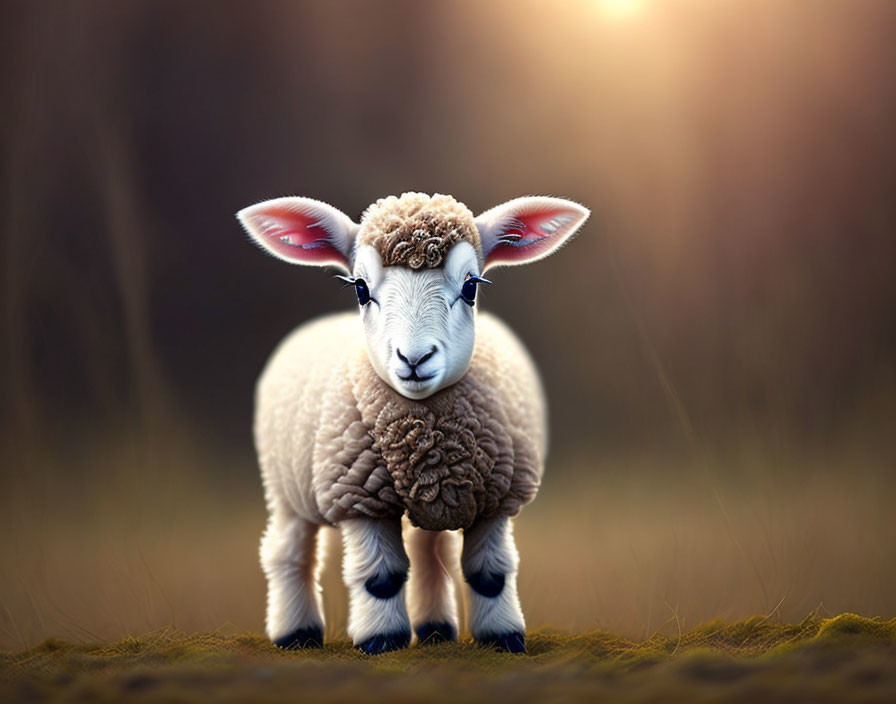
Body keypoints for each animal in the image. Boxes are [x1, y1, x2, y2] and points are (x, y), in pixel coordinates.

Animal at [238, 191, 588, 656]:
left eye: (472, 286)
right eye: (361, 288)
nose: (414, 358)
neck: (428, 441)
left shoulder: (495, 497)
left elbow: (489, 573)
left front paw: (503, 637)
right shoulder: (360, 498)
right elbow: (381, 577)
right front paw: (381, 639)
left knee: (429, 550)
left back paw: (437, 629)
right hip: (285, 486)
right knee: (287, 551)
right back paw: (295, 633)